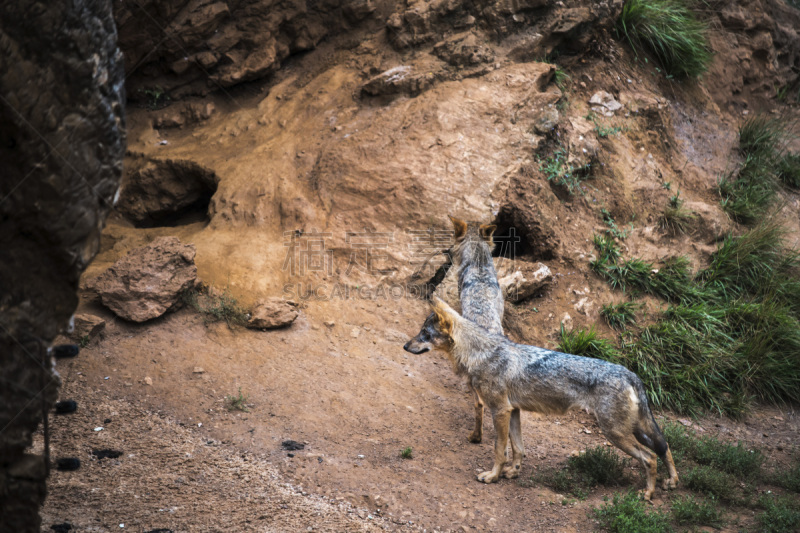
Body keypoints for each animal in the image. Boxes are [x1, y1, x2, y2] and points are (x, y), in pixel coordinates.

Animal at [404, 298, 680, 500]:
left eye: (424, 333)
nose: (405, 346)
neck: (479, 354)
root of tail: (631, 374)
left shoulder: (499, 410)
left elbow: (499, 450)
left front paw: (492, 477)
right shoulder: (513, 411)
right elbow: (518, 448)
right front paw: (513, 472)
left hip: (615, 433)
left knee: (650, 457)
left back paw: (647, 494)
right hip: (634, 429)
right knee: (664, 446)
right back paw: (672, 482)